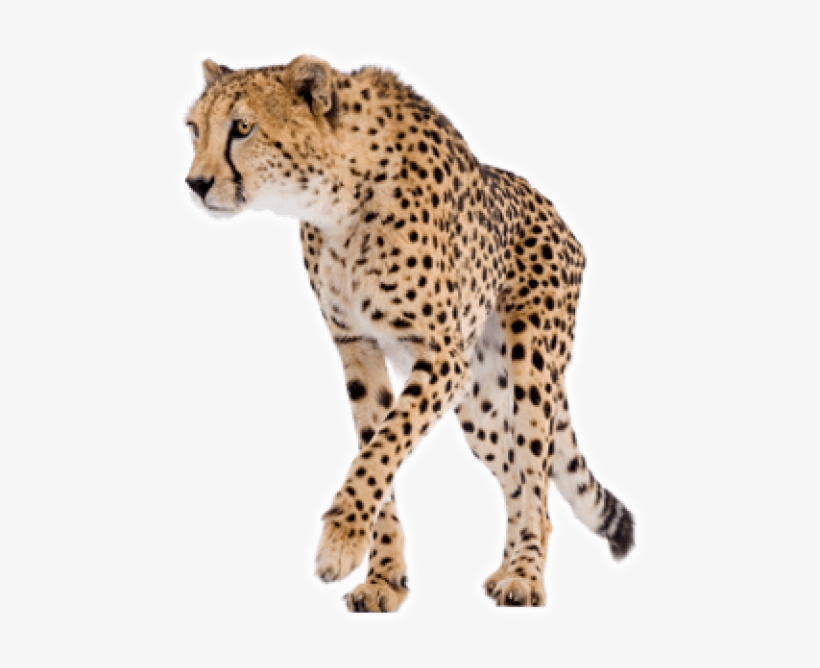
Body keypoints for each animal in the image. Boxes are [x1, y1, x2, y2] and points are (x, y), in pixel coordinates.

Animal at [184, 55, 635, 612]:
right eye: (194, 129)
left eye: (242, 128)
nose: (196, 183)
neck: (336, 199)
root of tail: (554, 213)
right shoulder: (358, 347)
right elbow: (376, 446)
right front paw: (382, 577)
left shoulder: (440, 355)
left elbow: (384, 447)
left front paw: (340, 540)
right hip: (479, 402)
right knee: (512, 472)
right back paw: (505, 569)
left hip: (531, 368)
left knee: (535, 477)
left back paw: (526, 576)